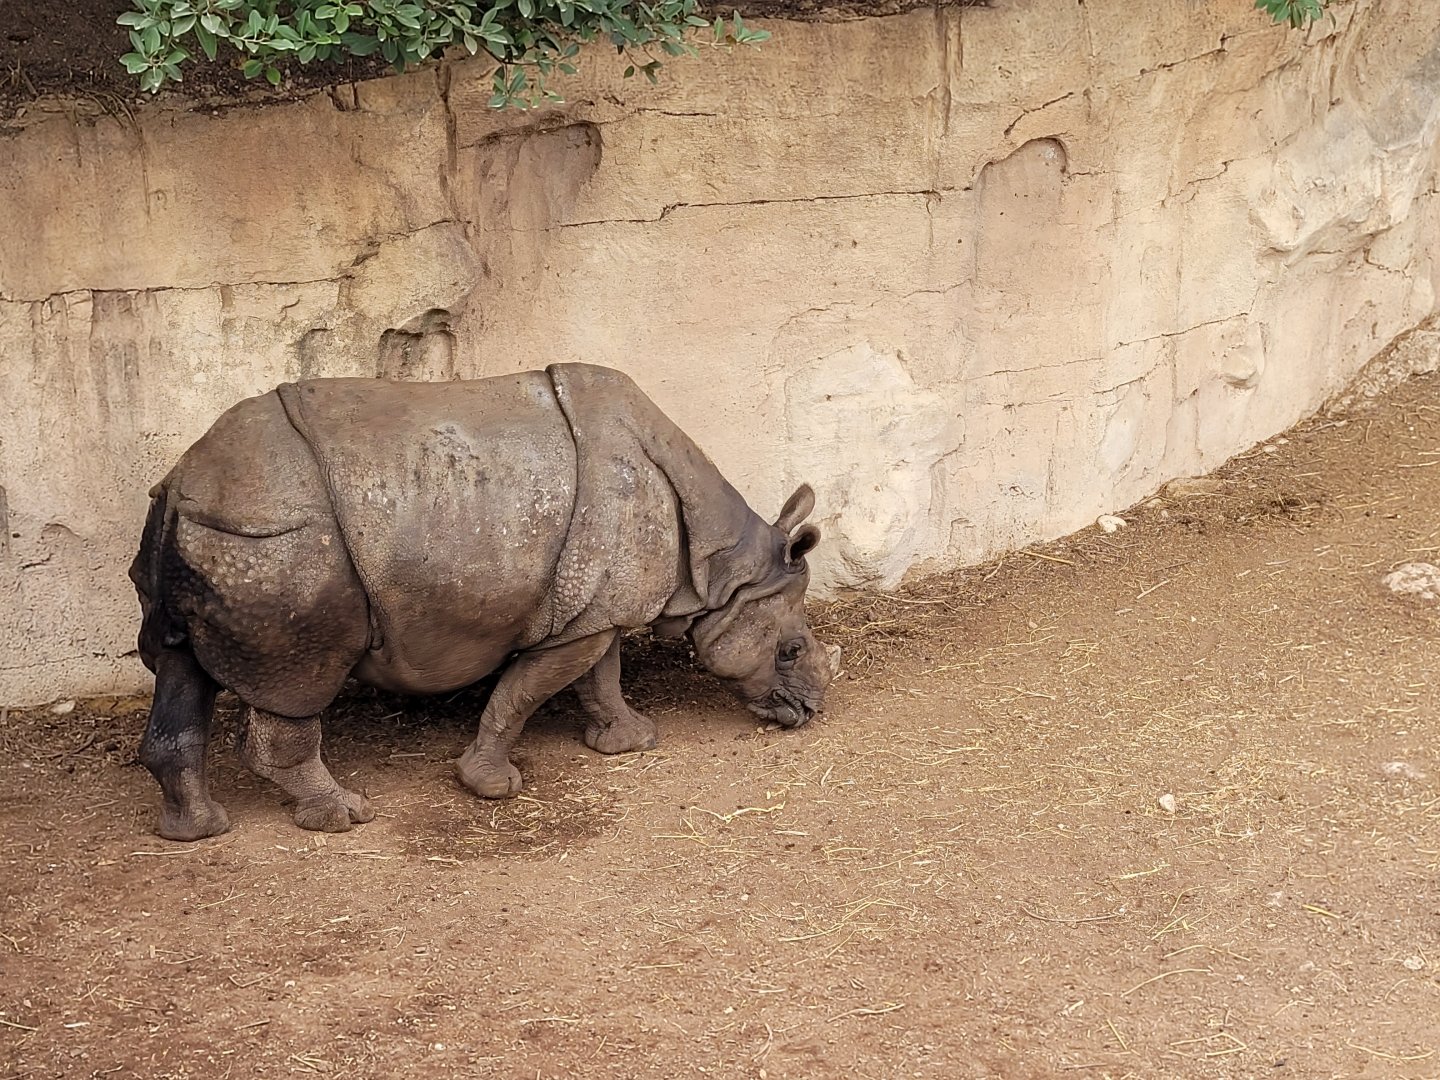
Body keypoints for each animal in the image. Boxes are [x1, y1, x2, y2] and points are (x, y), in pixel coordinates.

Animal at [129, 363, 839, 842]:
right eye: (789, 649)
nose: (808, 712)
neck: (723, 567)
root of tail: (182, 483)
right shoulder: (578, 617)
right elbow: (526, 691)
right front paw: (491, 786)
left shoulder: (595, 608)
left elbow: (600, 676)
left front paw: (629, 742)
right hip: (275, 542)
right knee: (297, 680)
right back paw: (344, 815)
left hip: (216, 533)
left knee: (179, 666)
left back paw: (198, 830)